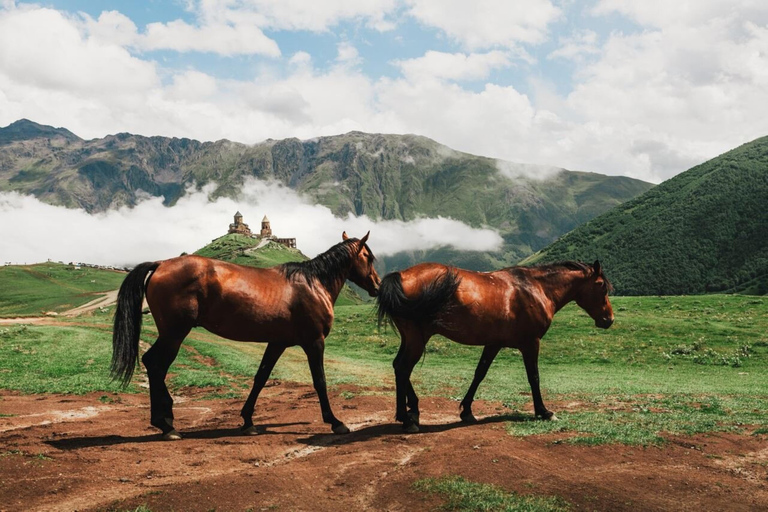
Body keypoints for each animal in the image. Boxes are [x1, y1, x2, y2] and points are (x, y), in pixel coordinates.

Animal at [111, 232, 380, 440]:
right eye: (368, 257)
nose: (377, 286)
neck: (313, 284)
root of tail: (160, 264)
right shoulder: (314, 342)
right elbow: (320, 381)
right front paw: (335, 422)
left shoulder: (277, 343)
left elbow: (261, 378)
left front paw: (248, 421)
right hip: (174, 334)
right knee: (156, 365)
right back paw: (166, 424)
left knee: (153, 365)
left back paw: (165, 421)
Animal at [376, 260, 616, 432]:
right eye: (601, 286)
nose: (609, 320)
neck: (536, 288)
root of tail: (401, 276)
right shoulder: (531, 343)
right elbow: (534, 377)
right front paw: (544, 411)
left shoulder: (493, 343)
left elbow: (479, 373)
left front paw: (467, 411)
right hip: (417, 339)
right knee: (403, 368)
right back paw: (407, 419)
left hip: (411, 338)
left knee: (398, 366)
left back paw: (413, 410)